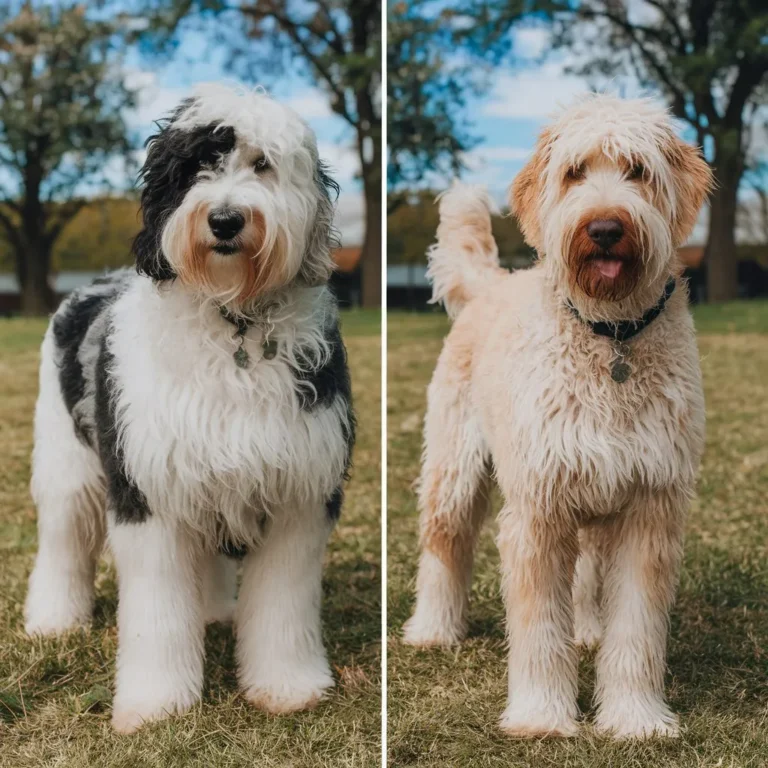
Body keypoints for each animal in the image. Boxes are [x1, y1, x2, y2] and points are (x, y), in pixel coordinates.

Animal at [25, 82, 356, 732]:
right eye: (194, 167)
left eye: (261, 164)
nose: (225, 219)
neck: (234, 326)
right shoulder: (147, 489)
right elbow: (156, 610)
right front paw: (156, 702)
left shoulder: (299, 490)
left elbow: (282, 601)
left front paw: (286, 685)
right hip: (68, 460)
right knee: (64, 537)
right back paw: (52, 618)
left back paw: (215, 610)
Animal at [404, 94, 712, 736]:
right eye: (574, 173)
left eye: (637, 171)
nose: (605, 228)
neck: (611, 337)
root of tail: (492, 284)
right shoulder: (539, 505)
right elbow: (541, 625)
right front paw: (542, 715)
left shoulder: (649, 502)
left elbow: (635, 626)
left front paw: (635, 718)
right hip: (455, 466)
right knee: (445, 543)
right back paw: (433, 629)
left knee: (589, 571)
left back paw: (589, 630)